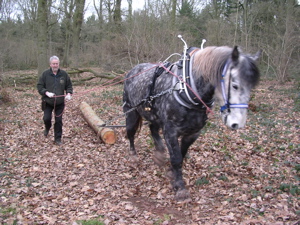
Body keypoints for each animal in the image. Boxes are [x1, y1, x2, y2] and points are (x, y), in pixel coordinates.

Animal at [122, 45, 260, 200]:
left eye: (251, 86)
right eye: (235, 85)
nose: (238, 123)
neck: (187, 90)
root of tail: (132, 71)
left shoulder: (193, 133)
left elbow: (181, 155)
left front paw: (172, 173)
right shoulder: (170, 132)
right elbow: (176, 158)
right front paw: (180, 187)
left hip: (154, 116)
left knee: (153, 129)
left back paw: (159, 153)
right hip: (131, 113)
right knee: (131, 133)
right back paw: (133, 155)